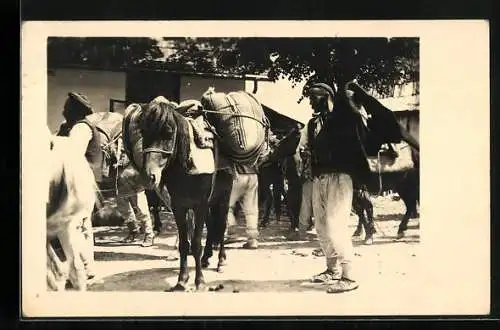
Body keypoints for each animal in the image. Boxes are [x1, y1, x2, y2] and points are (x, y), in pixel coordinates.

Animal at [138, 99, 231, 290]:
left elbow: (195, 243)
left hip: (224, 198)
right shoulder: (178, 207)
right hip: (211, 202)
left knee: (221, 225)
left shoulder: (199, 206)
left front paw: (199, 281)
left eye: (168, 133)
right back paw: (206, 258)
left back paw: (221, 261)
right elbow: (183, 243)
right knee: (212, 226)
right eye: (143, 132)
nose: (149, 176)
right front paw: (182, 280)